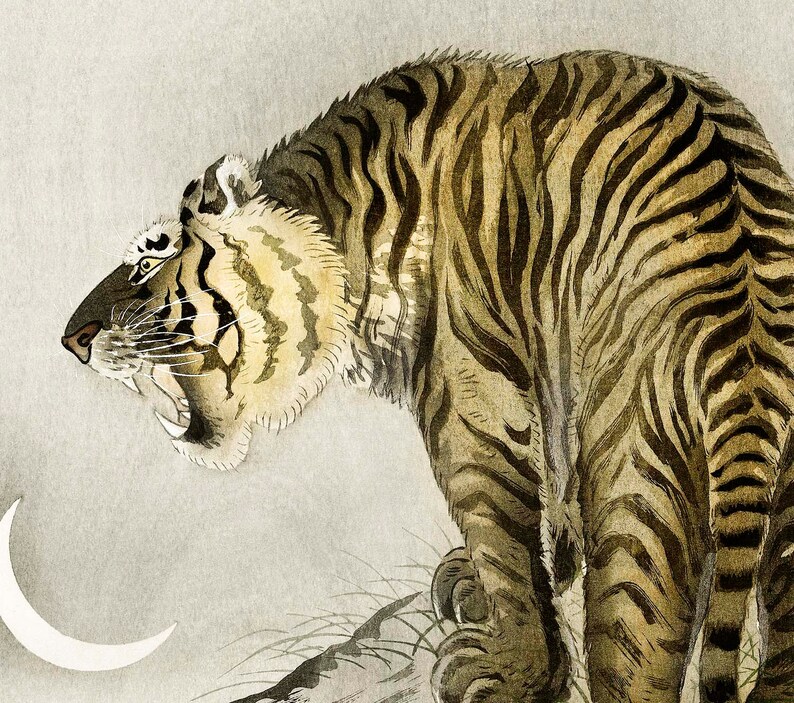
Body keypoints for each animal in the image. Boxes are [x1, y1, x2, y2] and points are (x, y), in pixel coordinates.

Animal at [61, 49, 794, 703]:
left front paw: (512, 673)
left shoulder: (468, 393)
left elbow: (501, 532)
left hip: (635, 447)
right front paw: (484, 583)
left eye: (149, 261)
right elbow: (547, 507)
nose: (72, 339)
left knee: (638, 641)